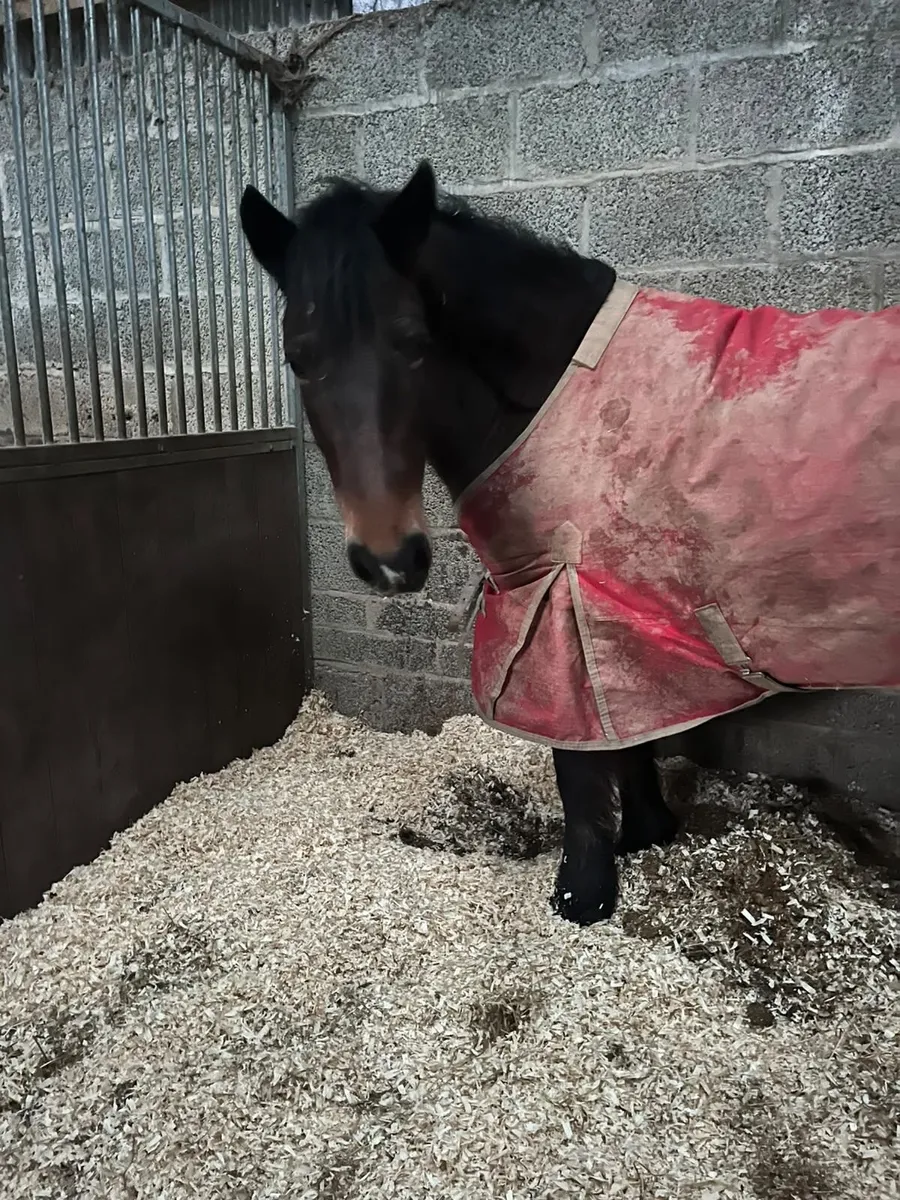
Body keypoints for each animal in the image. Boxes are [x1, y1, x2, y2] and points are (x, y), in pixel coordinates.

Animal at [239, 159, 900, 927]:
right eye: (297, 357)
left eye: (412, 340)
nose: (390, 561)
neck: (555, 392)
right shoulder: (619, 626)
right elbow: (624, 740)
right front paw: (645, 833)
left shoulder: (565, 608)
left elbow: (581, 763)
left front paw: (582, 895)